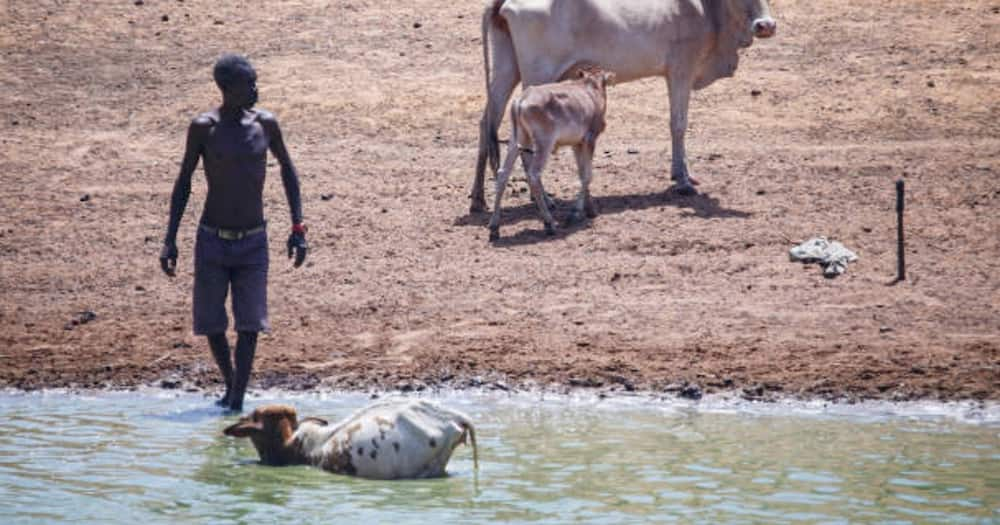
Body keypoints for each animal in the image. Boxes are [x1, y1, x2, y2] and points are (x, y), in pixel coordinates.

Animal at [466, 0, 772, 213]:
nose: (765, 25)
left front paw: (682, 174)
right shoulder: (681, 69)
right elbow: (678, 124)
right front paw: (683, 181)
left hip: (506, 69)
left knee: (487, 122)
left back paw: (478, 199)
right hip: (537, 75)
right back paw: (542, 197)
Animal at [488, 67, 612, 239]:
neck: (590, 91)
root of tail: (521, 101)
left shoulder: (577, 144)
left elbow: (582, 174)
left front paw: (590, 210)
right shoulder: (589, 140)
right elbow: (587, 175)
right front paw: (575, 214)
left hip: (516, 141)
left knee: (503, 173)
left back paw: (494, 227)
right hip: (544, 144)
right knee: (533, 174)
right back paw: (549, 223)